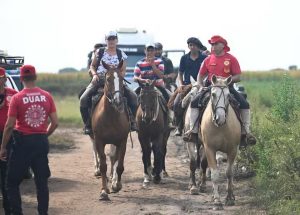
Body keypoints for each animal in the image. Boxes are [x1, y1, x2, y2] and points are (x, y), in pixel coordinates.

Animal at [91, 59, 129, 201]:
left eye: (122, 79)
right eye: (108, 79)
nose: (118, 101)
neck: (111, 116)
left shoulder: (122, 141)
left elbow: (119, 165)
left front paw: (116, 185)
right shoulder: (99, 140)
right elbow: (103, 165)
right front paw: (103, 191)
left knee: (114, 158)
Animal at [200, 74, 240, 209]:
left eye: (228, 95)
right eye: (213, 94)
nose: (220, 118)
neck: (221, 127)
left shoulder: (233, 149)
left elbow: (229, 173)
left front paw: (229, 198)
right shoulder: (209, 149)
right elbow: (214, 174)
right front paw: (217, 201)